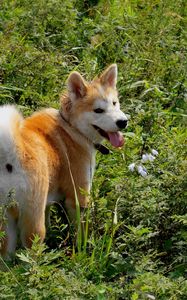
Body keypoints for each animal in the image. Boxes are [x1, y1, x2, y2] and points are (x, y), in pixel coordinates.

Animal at [0, 64, 128, 256]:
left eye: (114, 103)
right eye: (98, 110)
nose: (123, 122)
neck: (71, 128)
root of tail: (9, 154)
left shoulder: (49, 200)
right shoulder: (78, 199)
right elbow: (81, 231)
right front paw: (83, 250)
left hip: (6, 223)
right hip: (33, 223)